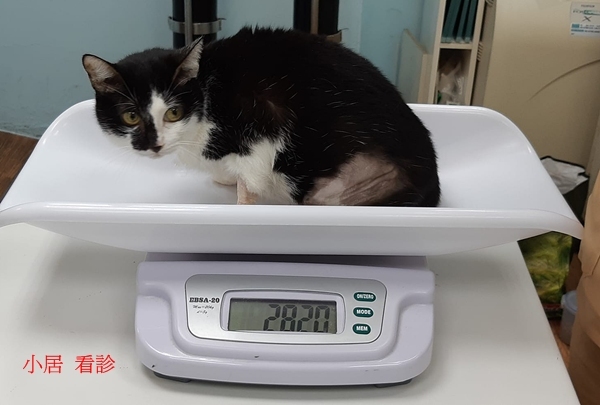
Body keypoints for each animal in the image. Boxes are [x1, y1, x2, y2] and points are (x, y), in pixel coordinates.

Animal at [82, 27, 440, 207]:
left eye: (173, 112)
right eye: (131, 116)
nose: (153, 145)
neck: (207, 92)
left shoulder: (262, 126)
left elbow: (249, 179)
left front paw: (241, 204)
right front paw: (223, 177)